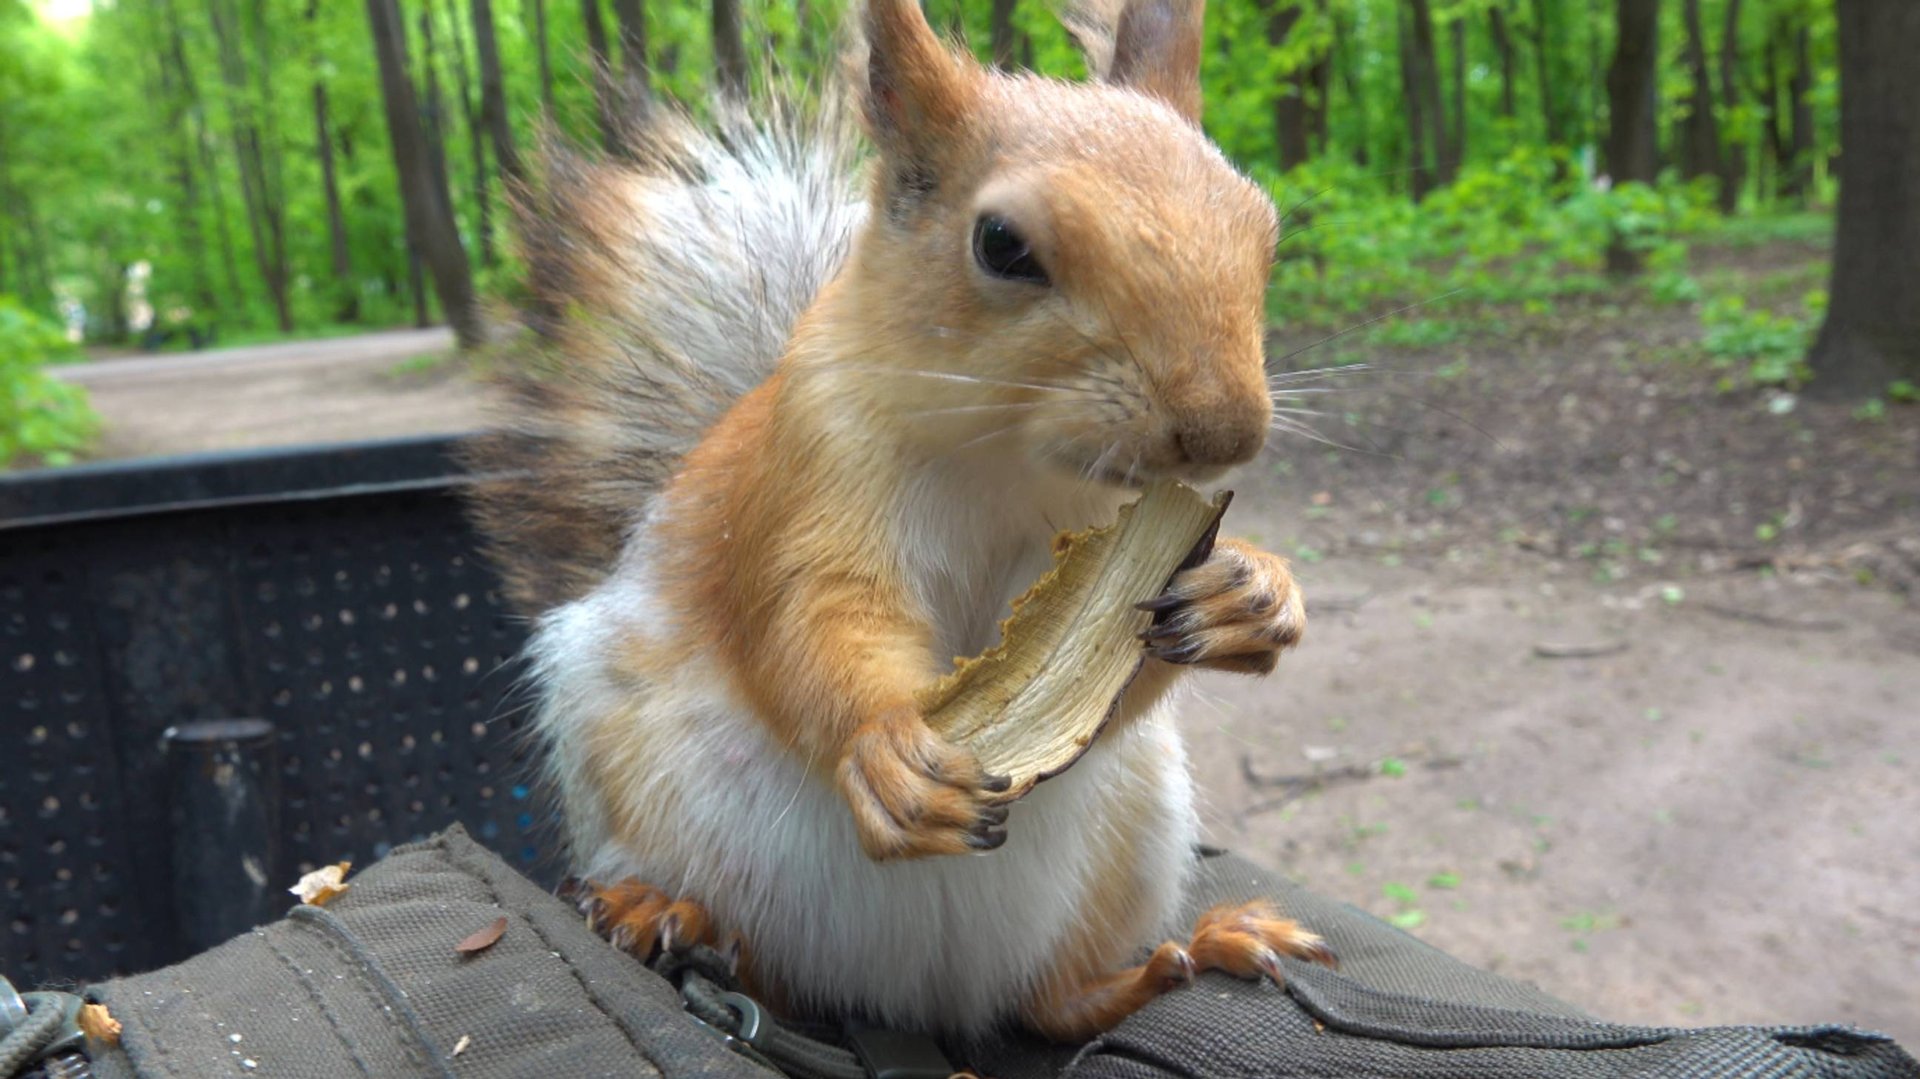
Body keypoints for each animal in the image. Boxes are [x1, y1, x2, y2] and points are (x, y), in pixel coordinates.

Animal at [468, 0, 1332, 1044]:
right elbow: (814, 620)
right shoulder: (803, 481)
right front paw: (887, 748)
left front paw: (1252, 591)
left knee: (1048, 1003)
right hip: (636, 785)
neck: (1004, 458)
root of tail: (919, 996)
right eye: (1001, 244)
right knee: (769, 977)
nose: (1222, 430)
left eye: (1263, 228)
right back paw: (664, 912)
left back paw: (1185, 955)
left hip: (1130, 835)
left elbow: (1102, 693)